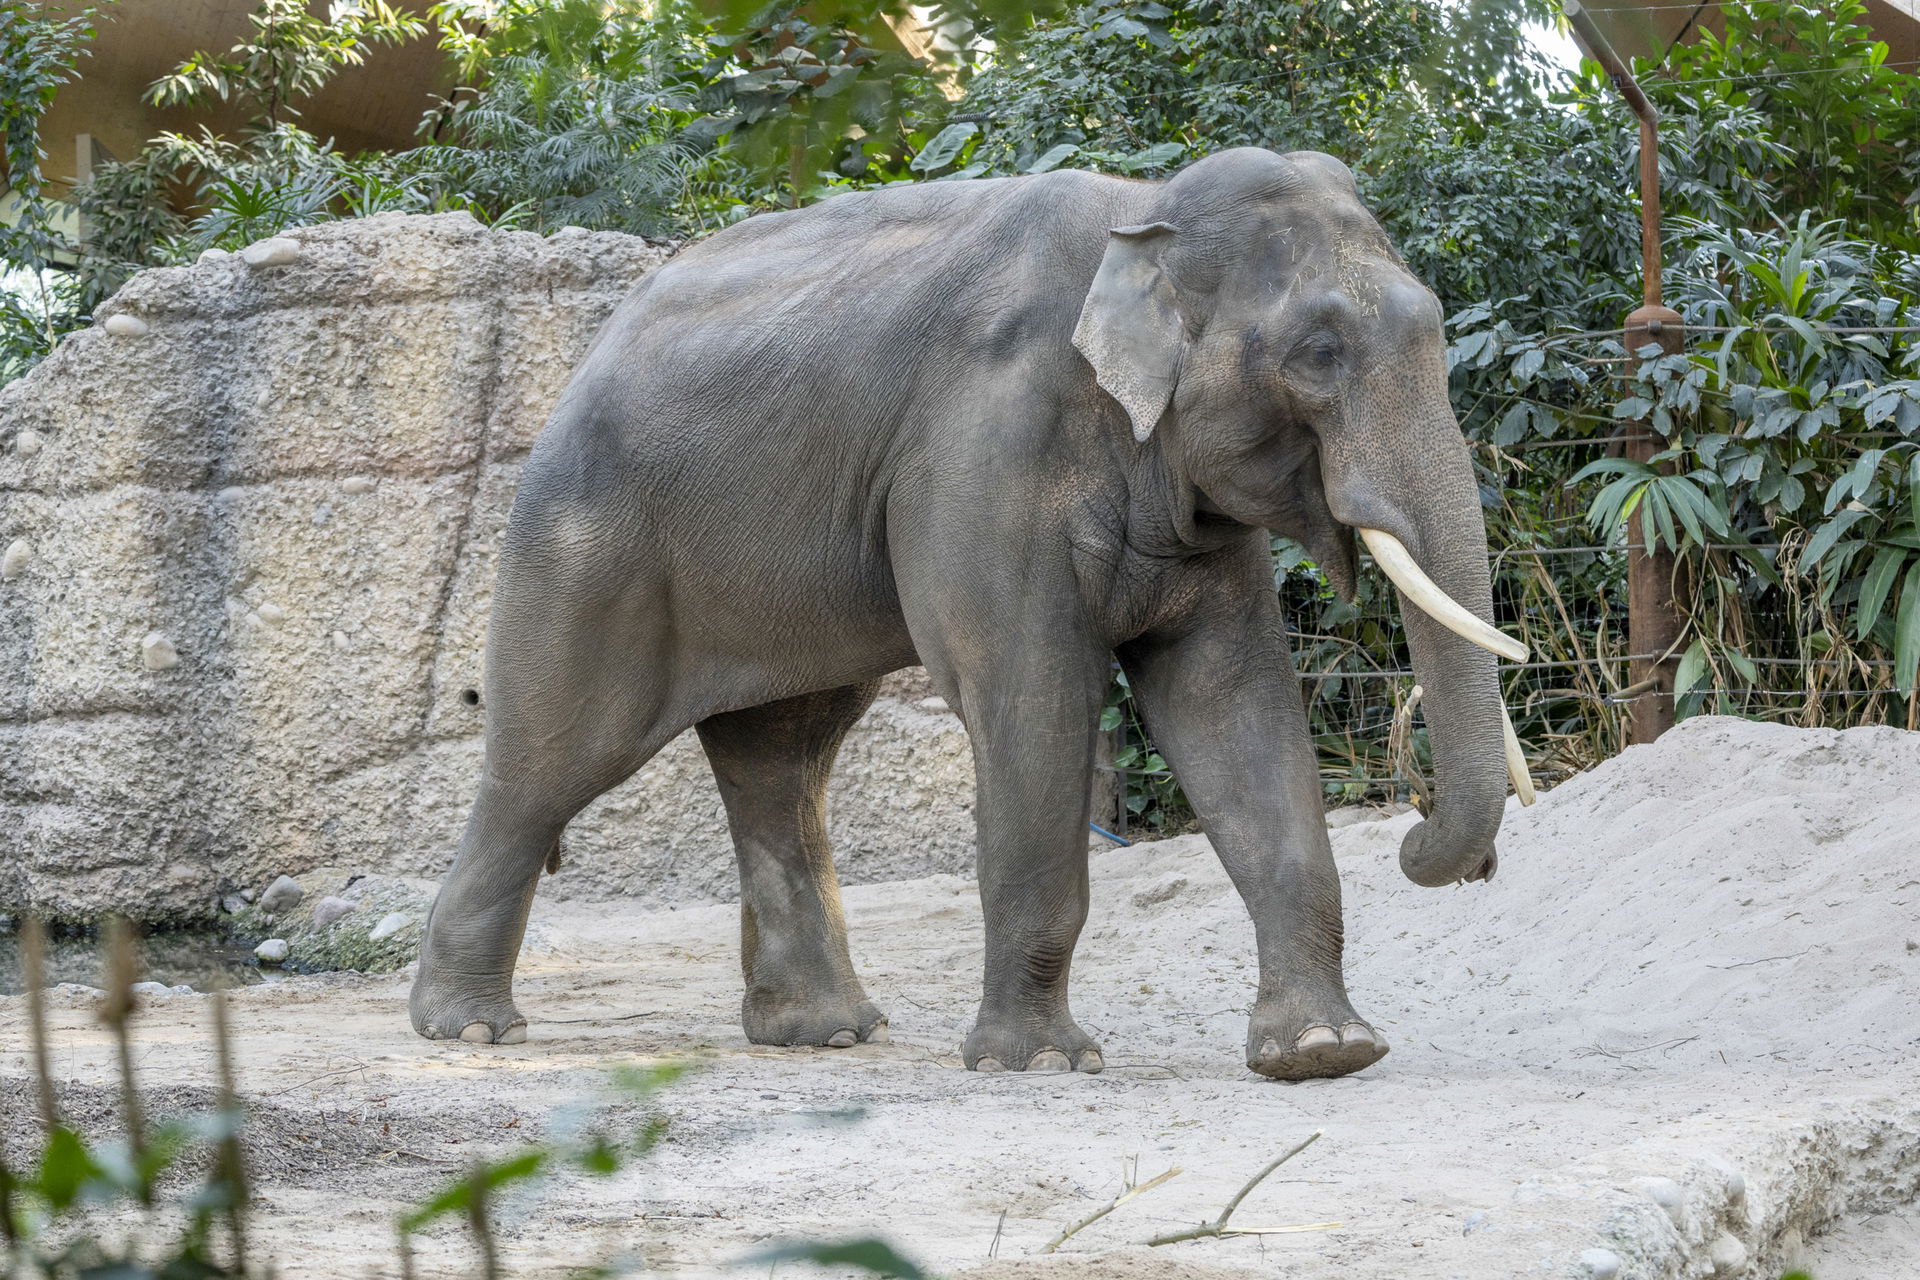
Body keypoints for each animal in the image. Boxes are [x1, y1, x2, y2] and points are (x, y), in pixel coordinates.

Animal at [408, 145, 1534, 1081]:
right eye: (1319, 351)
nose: (1441, 851)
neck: (1144, 210)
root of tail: (589, 354)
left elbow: (1231, 707)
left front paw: (1323, 1054)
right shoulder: (986, 448)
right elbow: (1035, 698)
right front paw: (1041, 1064)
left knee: (783, 760)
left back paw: (823, 1033)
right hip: (587, 540)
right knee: (555, 758)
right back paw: (470, 1029)